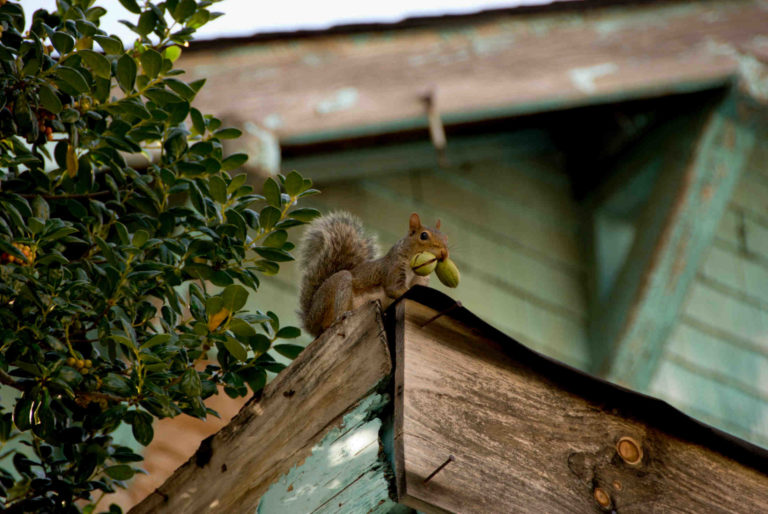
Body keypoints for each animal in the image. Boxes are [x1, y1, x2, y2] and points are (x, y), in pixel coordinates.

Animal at [298, 211, 449, 337]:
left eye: (446, 237)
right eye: (423, 236)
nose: (444, 253)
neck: (413, 268)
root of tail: (310, 320)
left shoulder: (419, 280)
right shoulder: (393, 268)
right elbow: (395, 288)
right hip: (335, 290)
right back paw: (340, 317)